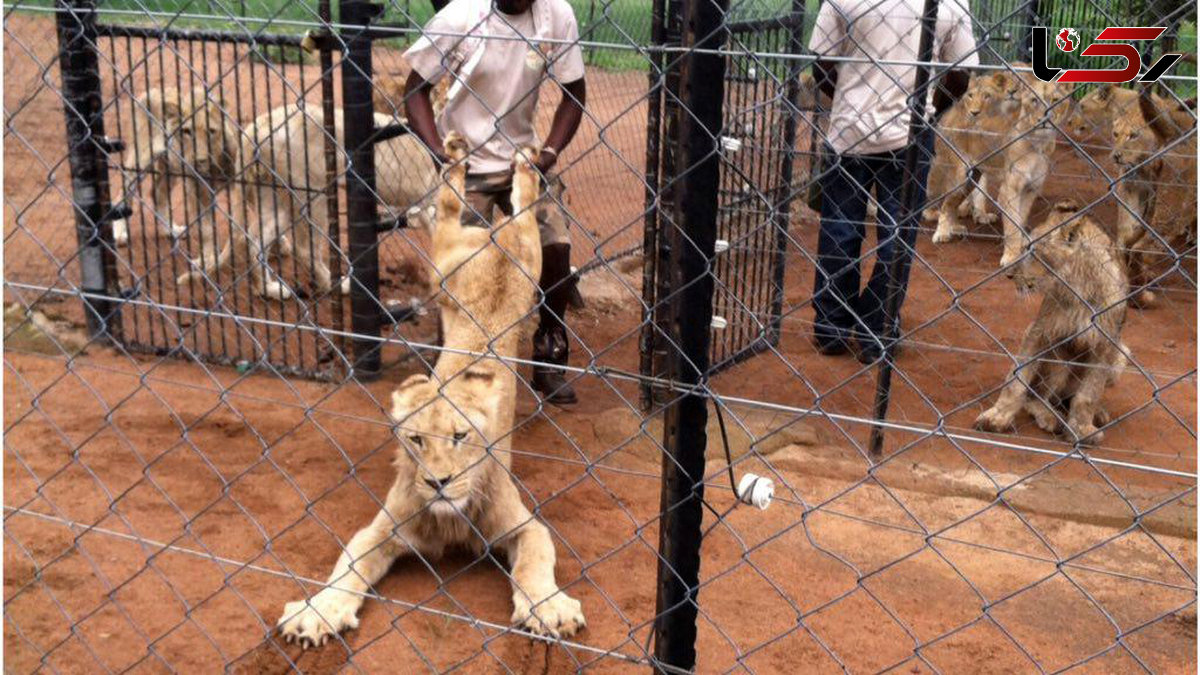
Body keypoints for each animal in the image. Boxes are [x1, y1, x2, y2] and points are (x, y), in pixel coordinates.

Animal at [277, 132, 585, 648]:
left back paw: (519, 166)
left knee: (521, 210)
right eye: (416, 439)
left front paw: (549, 609)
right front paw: (319, 611)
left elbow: (536, 563)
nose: (437, 482)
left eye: (461, 437)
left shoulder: (526, 526)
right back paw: (459, 156)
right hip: (445, 267)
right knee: (448, 207)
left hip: (528, 261)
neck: (450, 516)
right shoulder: (382, 528)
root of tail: (494, 238)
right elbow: (347, 565)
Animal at [969, 199, 1128, 441]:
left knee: (1069, 397)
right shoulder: (1039, 332)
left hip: (1121, 356)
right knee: (1036, 396)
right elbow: (1016, 383)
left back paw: (1097, 414)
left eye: (1033, 251)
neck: (1079, 290)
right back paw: (1051, 418)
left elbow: (1089, 394)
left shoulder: (1105, 345)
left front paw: (1082, 429)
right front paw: (996, 417)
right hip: (1059, 359)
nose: (1009, 275)